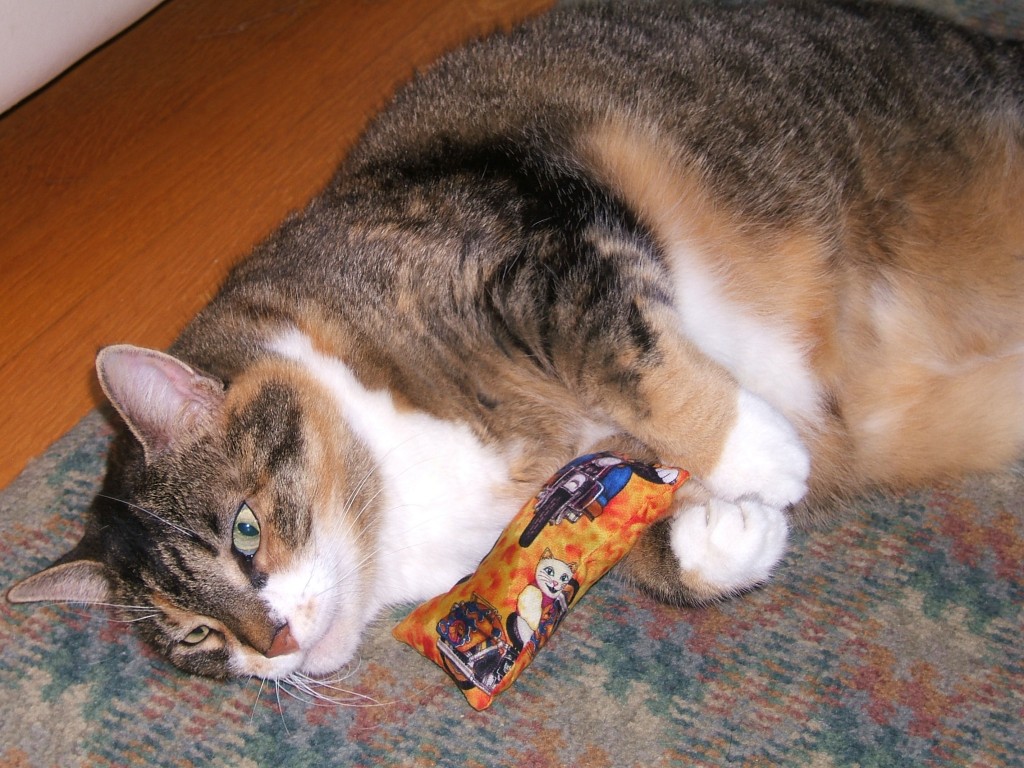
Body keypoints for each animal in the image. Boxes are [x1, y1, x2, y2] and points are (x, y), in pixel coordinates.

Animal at [8, 0, 1024, 684]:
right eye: (196, 636)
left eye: (245, 533)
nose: (275, 644)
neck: (402, 501)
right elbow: (616, 515)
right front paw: (726, 539)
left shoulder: (536, 259)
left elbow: (630, 355)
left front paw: (762, 455)